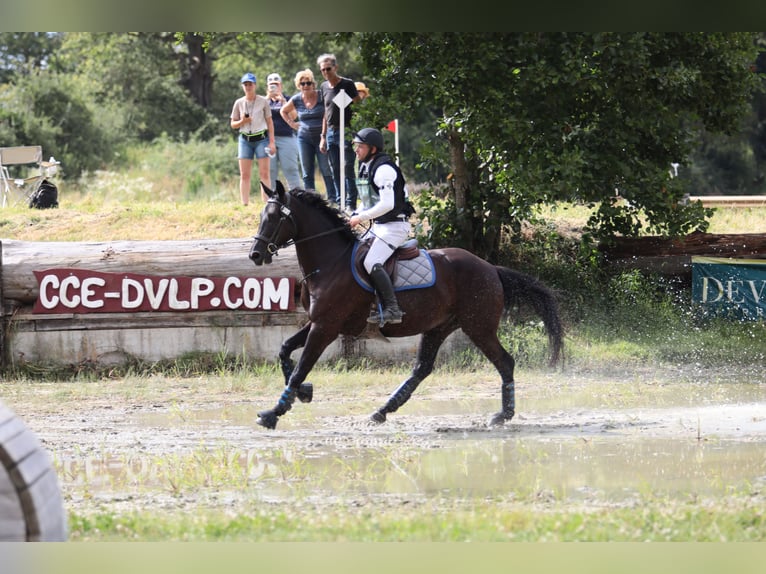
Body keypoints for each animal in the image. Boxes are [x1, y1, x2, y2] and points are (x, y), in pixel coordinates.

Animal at [248, 181, 563, 430]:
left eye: (274, 217)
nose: (255, 255)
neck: (329, 263)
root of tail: (490, 268)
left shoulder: (325, 327)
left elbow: (300, 367)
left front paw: (274, 413)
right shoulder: (320, 323)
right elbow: (284, 350)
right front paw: (303, 393)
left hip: (478, 327)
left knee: (505, 362)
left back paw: (503, 415)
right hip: (438, 327)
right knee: (422, 368)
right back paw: (382, 411)